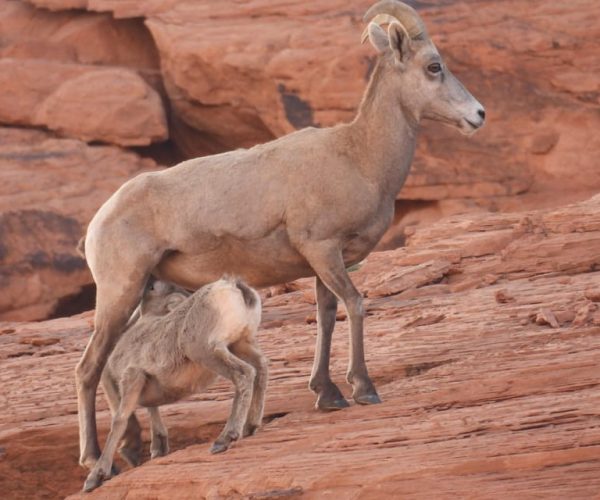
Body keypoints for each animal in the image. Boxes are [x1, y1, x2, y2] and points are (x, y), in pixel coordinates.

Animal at [77, 0, 486, 468]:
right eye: (434, 66)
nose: (479, 115)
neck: (360, 157)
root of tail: (99, 221)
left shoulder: (324, 262)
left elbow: (327, 315)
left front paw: (327, 394)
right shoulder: (323, 249)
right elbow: (356, 305)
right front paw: (364, 389)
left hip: (141, 294)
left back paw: (134, 448)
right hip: (119, 291)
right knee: (89, 367)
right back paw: (95, 457)